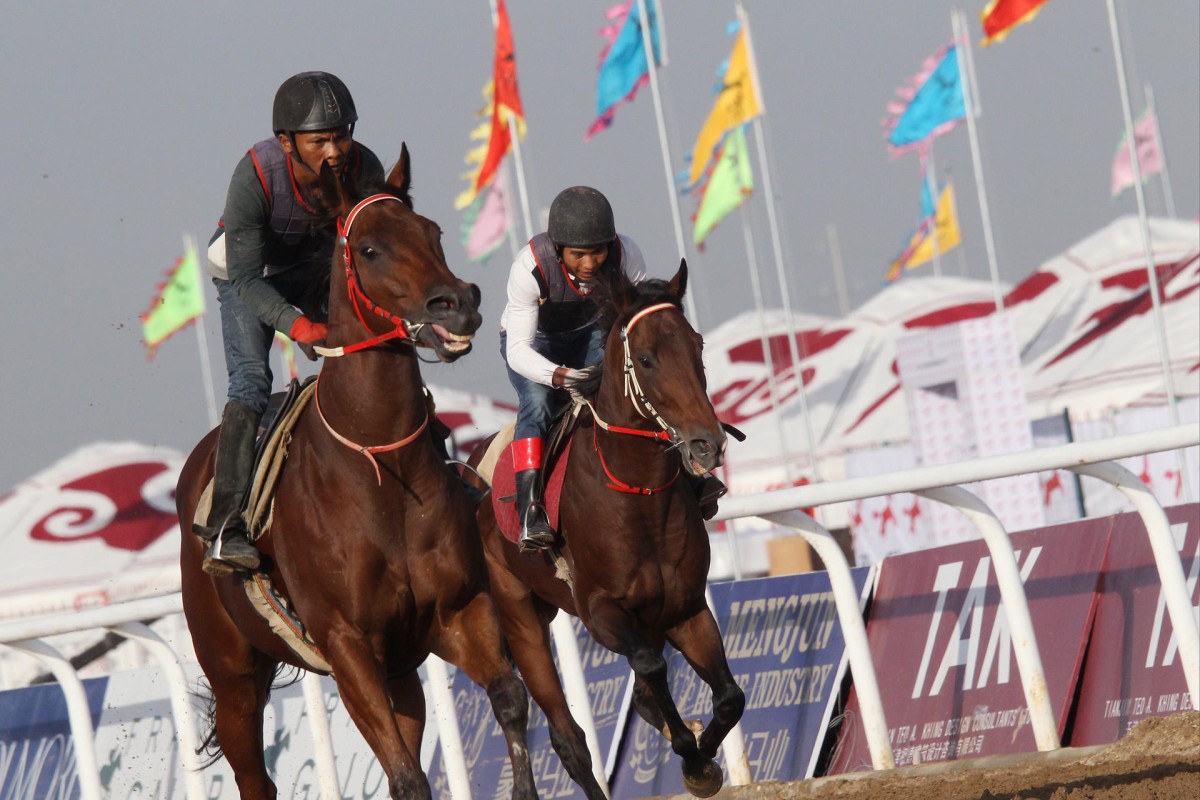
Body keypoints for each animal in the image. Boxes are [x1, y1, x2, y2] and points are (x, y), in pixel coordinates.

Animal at [175, 145, 537, 800]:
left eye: (433, 232)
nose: (459, 304)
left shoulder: (457, 612)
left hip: (400, 670)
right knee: (254, 777)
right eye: (369, 249)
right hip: (232, 674)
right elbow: (405, 774)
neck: (379, 468)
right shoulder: (348, 648)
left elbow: (508, 699)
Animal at [465, 263, 739, 800]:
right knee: (569, 739)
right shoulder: (601, 613)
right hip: (521, 619)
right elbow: (651, 669)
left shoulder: (684, 608)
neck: (638, 493)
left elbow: (728, 697)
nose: (707, 444)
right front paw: (691, 753)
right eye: (647, 360)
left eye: (697, 346)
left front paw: (703, 764)